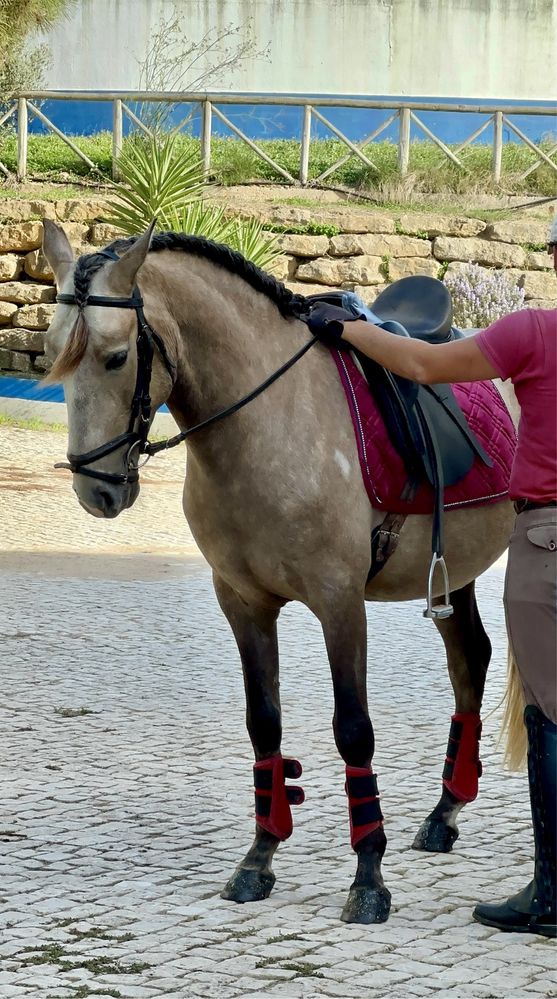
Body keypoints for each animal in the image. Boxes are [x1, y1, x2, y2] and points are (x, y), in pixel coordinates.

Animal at [41, 223, 516, 924]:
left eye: (115, 357)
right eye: (51, 352)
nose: (95, 490)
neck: (265, 424)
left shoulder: (340, 604)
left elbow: (354, 732)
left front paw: (369, 876)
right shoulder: (243, 603)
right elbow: (263, 724)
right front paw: (259, 858)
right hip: (454, 570)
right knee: (470, 660)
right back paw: (444, 813)